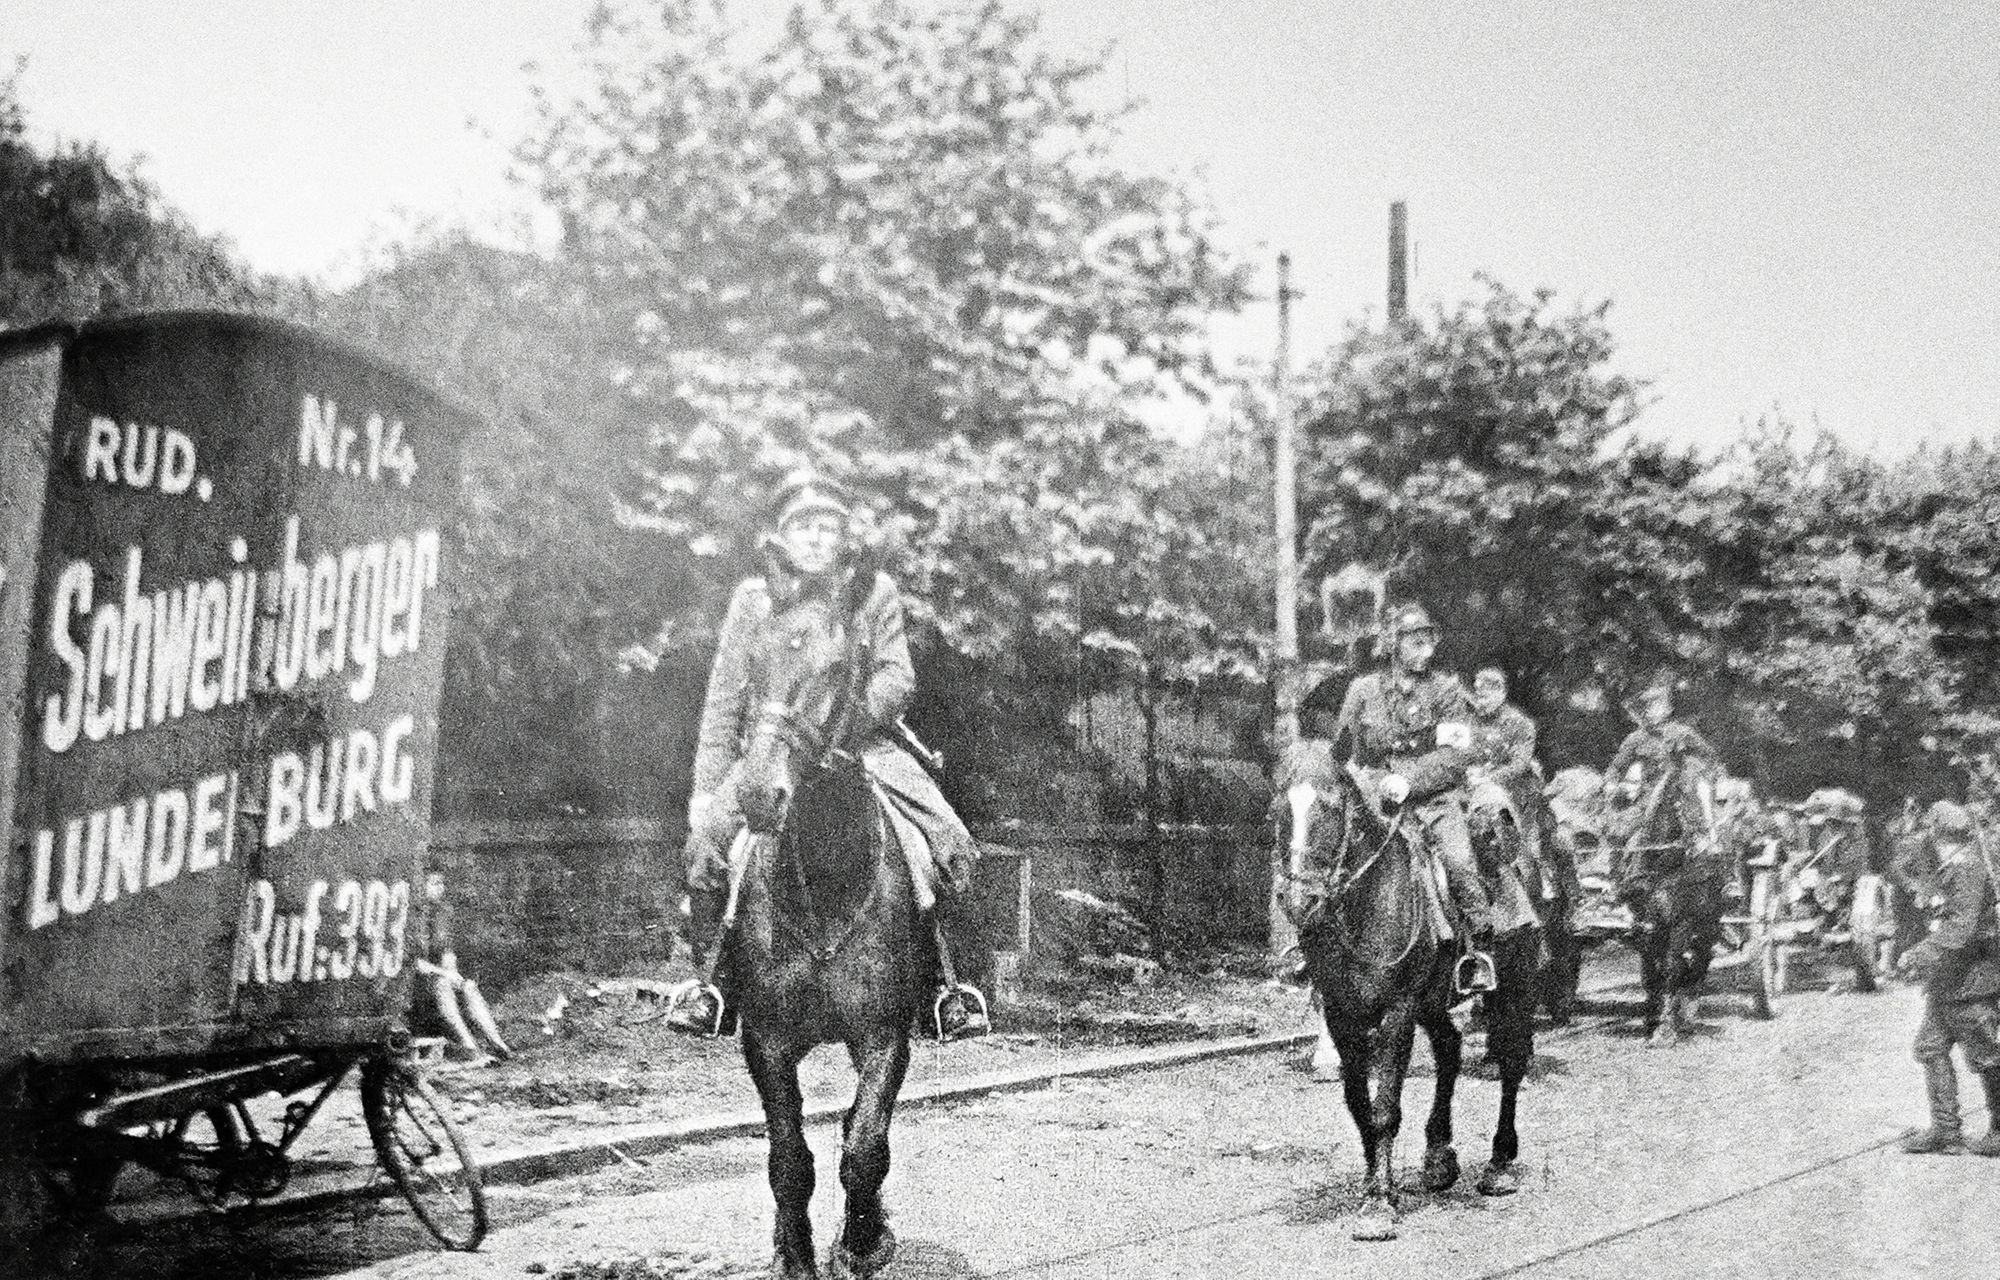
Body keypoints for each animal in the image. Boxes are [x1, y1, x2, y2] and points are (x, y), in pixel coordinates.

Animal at [728, 584, 928, 1280]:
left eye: (838, 667)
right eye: (752, 659)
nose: (758, 794)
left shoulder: (884, 1034)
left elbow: (865, 1147)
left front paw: (864, 1243)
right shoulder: (766, 1041)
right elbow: (788, 1160)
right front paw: (795, 1254)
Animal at [1272, 744, 1536, 1248]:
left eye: (1330, 808)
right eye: (1278, 809)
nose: (1300, 902)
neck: (1368, 903)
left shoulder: (1397, 1013)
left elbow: (1384, 1110)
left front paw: (1378, 1206)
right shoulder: (1342, 1016)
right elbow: (1359, 1106)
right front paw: (1376, 1185)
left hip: (1512, 986)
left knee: (1512, 1062)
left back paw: (1499, 1164)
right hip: (1432, 1003)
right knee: (1450, 1050)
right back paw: (1439, 1157)